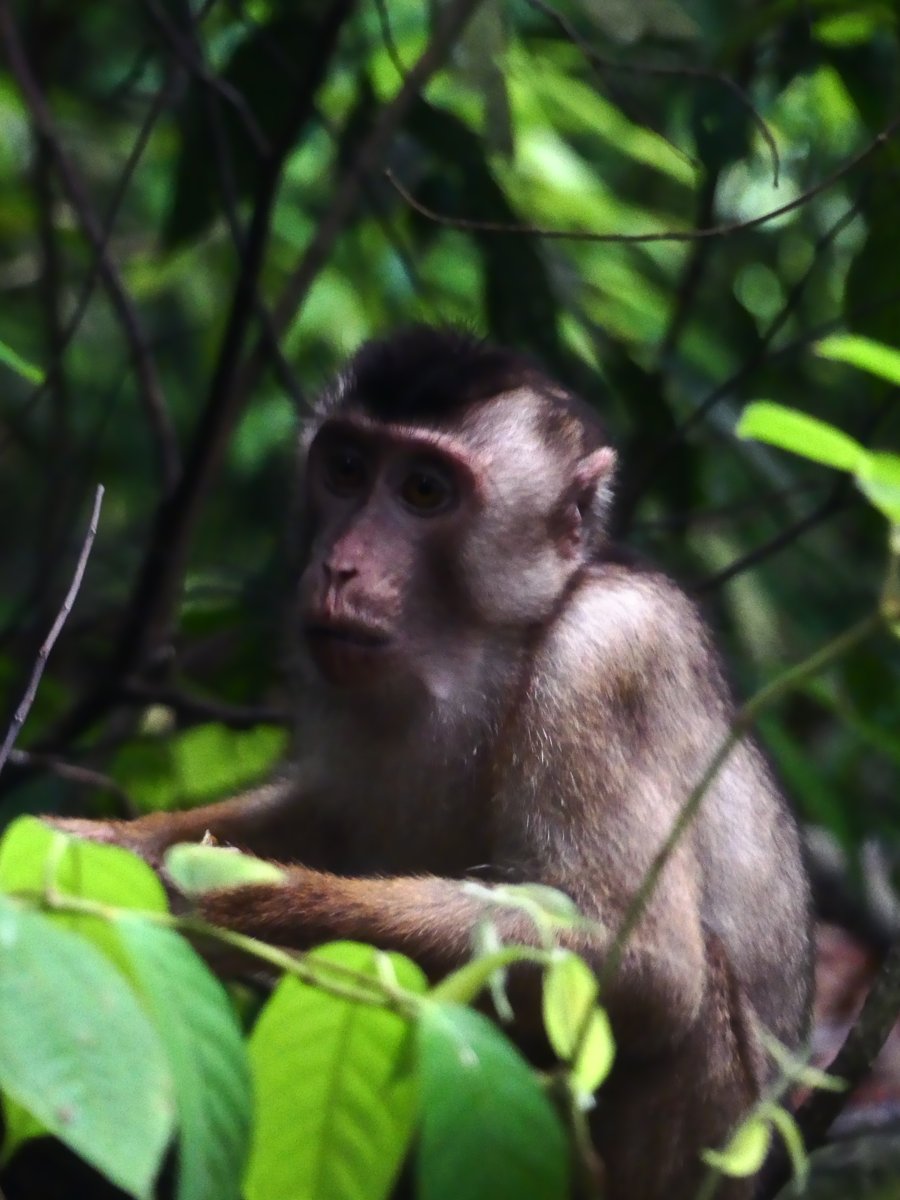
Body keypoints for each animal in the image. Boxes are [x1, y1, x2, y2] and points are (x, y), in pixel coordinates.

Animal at [49, 326, 812, 1200]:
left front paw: (231, 905)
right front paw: (100, 844)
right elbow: (328, 814)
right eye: (347, 469)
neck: (499, 643)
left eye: (423, 490)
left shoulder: (609, 658)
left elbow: (646, 971)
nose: (339, 565)